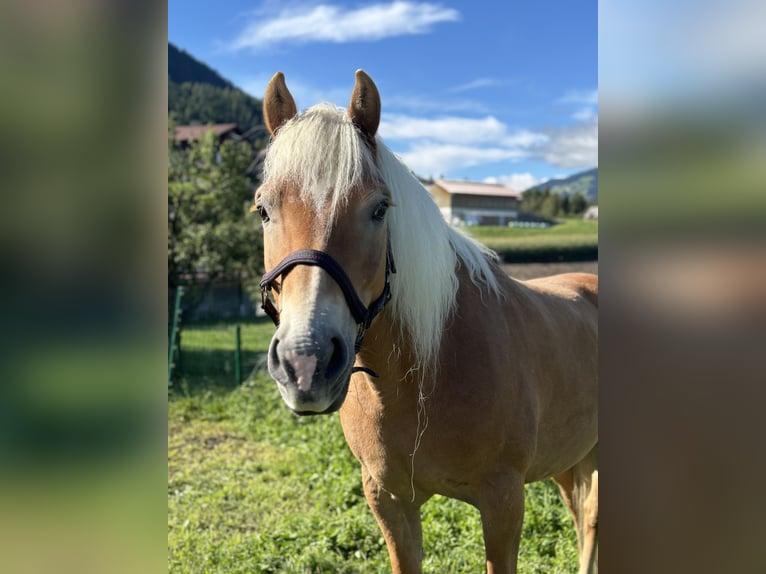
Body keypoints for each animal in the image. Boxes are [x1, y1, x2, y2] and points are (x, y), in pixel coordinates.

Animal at [255, 70, 596, 572]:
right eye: (263, 209)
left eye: (379, 208)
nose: (306, 362)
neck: (424, 373)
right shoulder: (389, 500)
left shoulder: (504, 502)